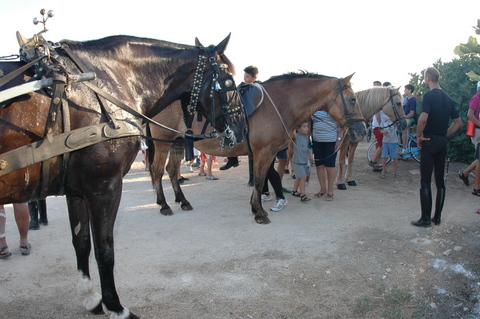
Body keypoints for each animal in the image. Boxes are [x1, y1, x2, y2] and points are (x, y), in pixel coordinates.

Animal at [0, 33, 246, 318]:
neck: (102, 83)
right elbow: (105, 248)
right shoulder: (104, 186)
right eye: (229, 81)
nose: (242, 128)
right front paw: (115, 306)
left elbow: (81, 242)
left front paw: (91, 298)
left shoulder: (76, 190)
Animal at [148, 71, 366, 224]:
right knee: (157, 171)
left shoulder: (269, 153)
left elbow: (267, 178)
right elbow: (260, 180)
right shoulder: (264, 152)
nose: (363, 129)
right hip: (162, 143)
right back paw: (164, 205)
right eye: (352, 99)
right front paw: (259, 212)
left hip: (177, 143)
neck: (280, 104)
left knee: (171, 171)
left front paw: (261, 205)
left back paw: (183, 201)